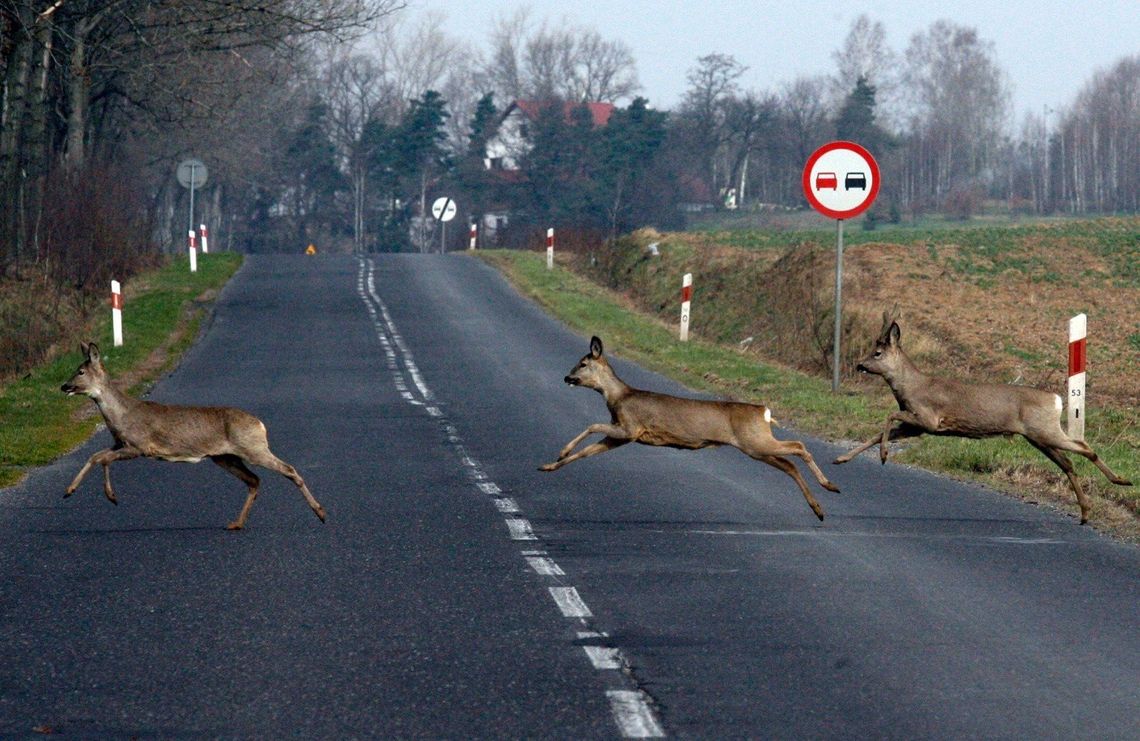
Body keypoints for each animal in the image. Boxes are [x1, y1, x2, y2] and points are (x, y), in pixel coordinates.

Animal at [60, 344, 328, 528]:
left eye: (80, 371)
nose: (64, 386)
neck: (121, 415)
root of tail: (260, 424)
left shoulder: (139, 446)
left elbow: (103, 459)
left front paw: (112, 497)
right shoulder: (119, 443)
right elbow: (95, 456)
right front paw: (69, 491)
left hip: (253, 448)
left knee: (288, 469)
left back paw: (321, 513)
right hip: (225, 457)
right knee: (254, 480)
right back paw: (236, 523)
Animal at [533, 335, 839, 519]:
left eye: (583, 363)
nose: (566, 377)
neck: (617, 397)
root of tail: (763, 412)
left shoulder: (630, 428)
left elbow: (592, 424)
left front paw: (560, 452)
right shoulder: (622, 435)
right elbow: (587, 451)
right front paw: (549, 466)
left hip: (754, 441)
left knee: (797, 447)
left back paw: (830, 485)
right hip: (756, 446)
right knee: (789, 464)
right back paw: (820, 507)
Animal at [829, 307, 1130, 522]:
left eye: (877, 352)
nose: (859, 365)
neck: (911, 387)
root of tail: (1056, 400)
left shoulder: (928, 418)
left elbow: (890, 417)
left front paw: (882, 456)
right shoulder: (917, 425)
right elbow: (880, 432)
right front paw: (841, 458)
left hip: (1043, 430)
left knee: (1084, 447)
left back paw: (1120, 481)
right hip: (1037, 436)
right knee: (1068, 462)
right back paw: (1085, 512)